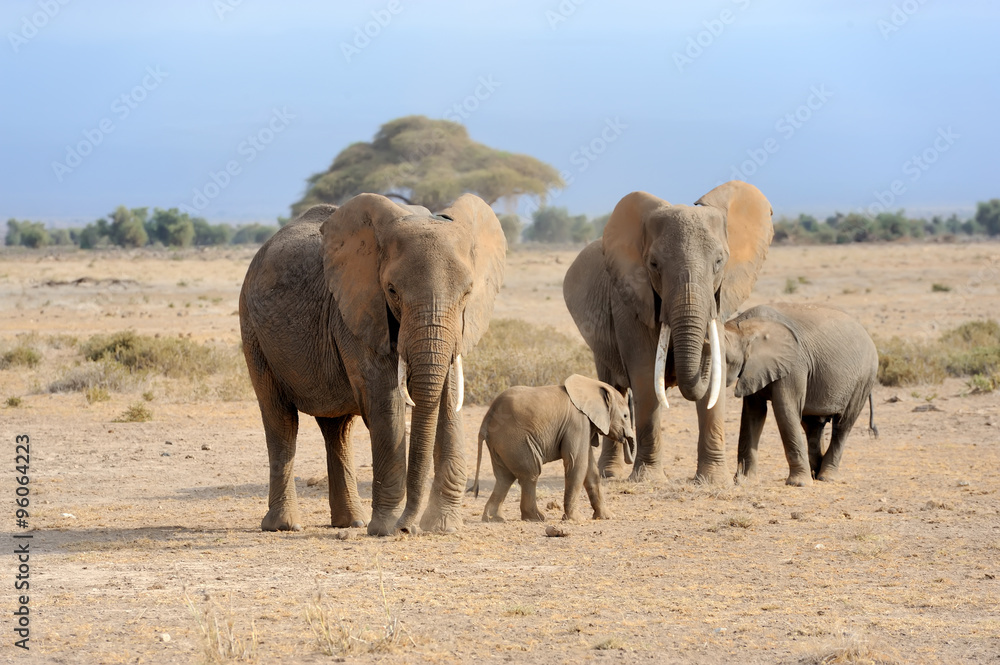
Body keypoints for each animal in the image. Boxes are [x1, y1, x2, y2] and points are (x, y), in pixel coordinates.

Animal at [239, 193, 506, 536]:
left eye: (468, 292)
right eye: (391, 290)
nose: (409, 529)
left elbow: (448, 398)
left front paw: (443, 527)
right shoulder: (359, 310)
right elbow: (385, 402)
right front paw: (386, 529)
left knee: (337, 429)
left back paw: (350, 521)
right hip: (252, 329)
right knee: (281, 420)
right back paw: (285, 525)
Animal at [471, 375, 636, 522]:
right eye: (626, 416)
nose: (626, 438)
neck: (591, 385)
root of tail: (487, 419)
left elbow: (590, 469)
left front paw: (607, 517)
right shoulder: (578, 422)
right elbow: (577, 464)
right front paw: (575, 520)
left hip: (501, 444)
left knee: (504, 478)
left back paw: (493, 519)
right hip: (514, 440)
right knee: (530, 474)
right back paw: (537, 518)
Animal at [563, 181, 773, 484]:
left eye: (719, 261)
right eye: (653, 264)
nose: (706, 344)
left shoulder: (720, 301)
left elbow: (714, 379)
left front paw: (713, 481)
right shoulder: (631, 302)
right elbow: (644, 375)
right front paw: (648, 479)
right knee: (612, 386)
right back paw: (609, 475)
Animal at [723, 303, 879, 485]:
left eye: (725, 359)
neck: (744, 325)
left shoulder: (794, 365)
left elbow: (785, 410)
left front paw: (799, 484)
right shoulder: (754, 369)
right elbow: (753, 413)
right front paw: (744, 481)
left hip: (863, 379)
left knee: (842, 424)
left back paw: (826, 478)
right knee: (813, 425)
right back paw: (815, 473)